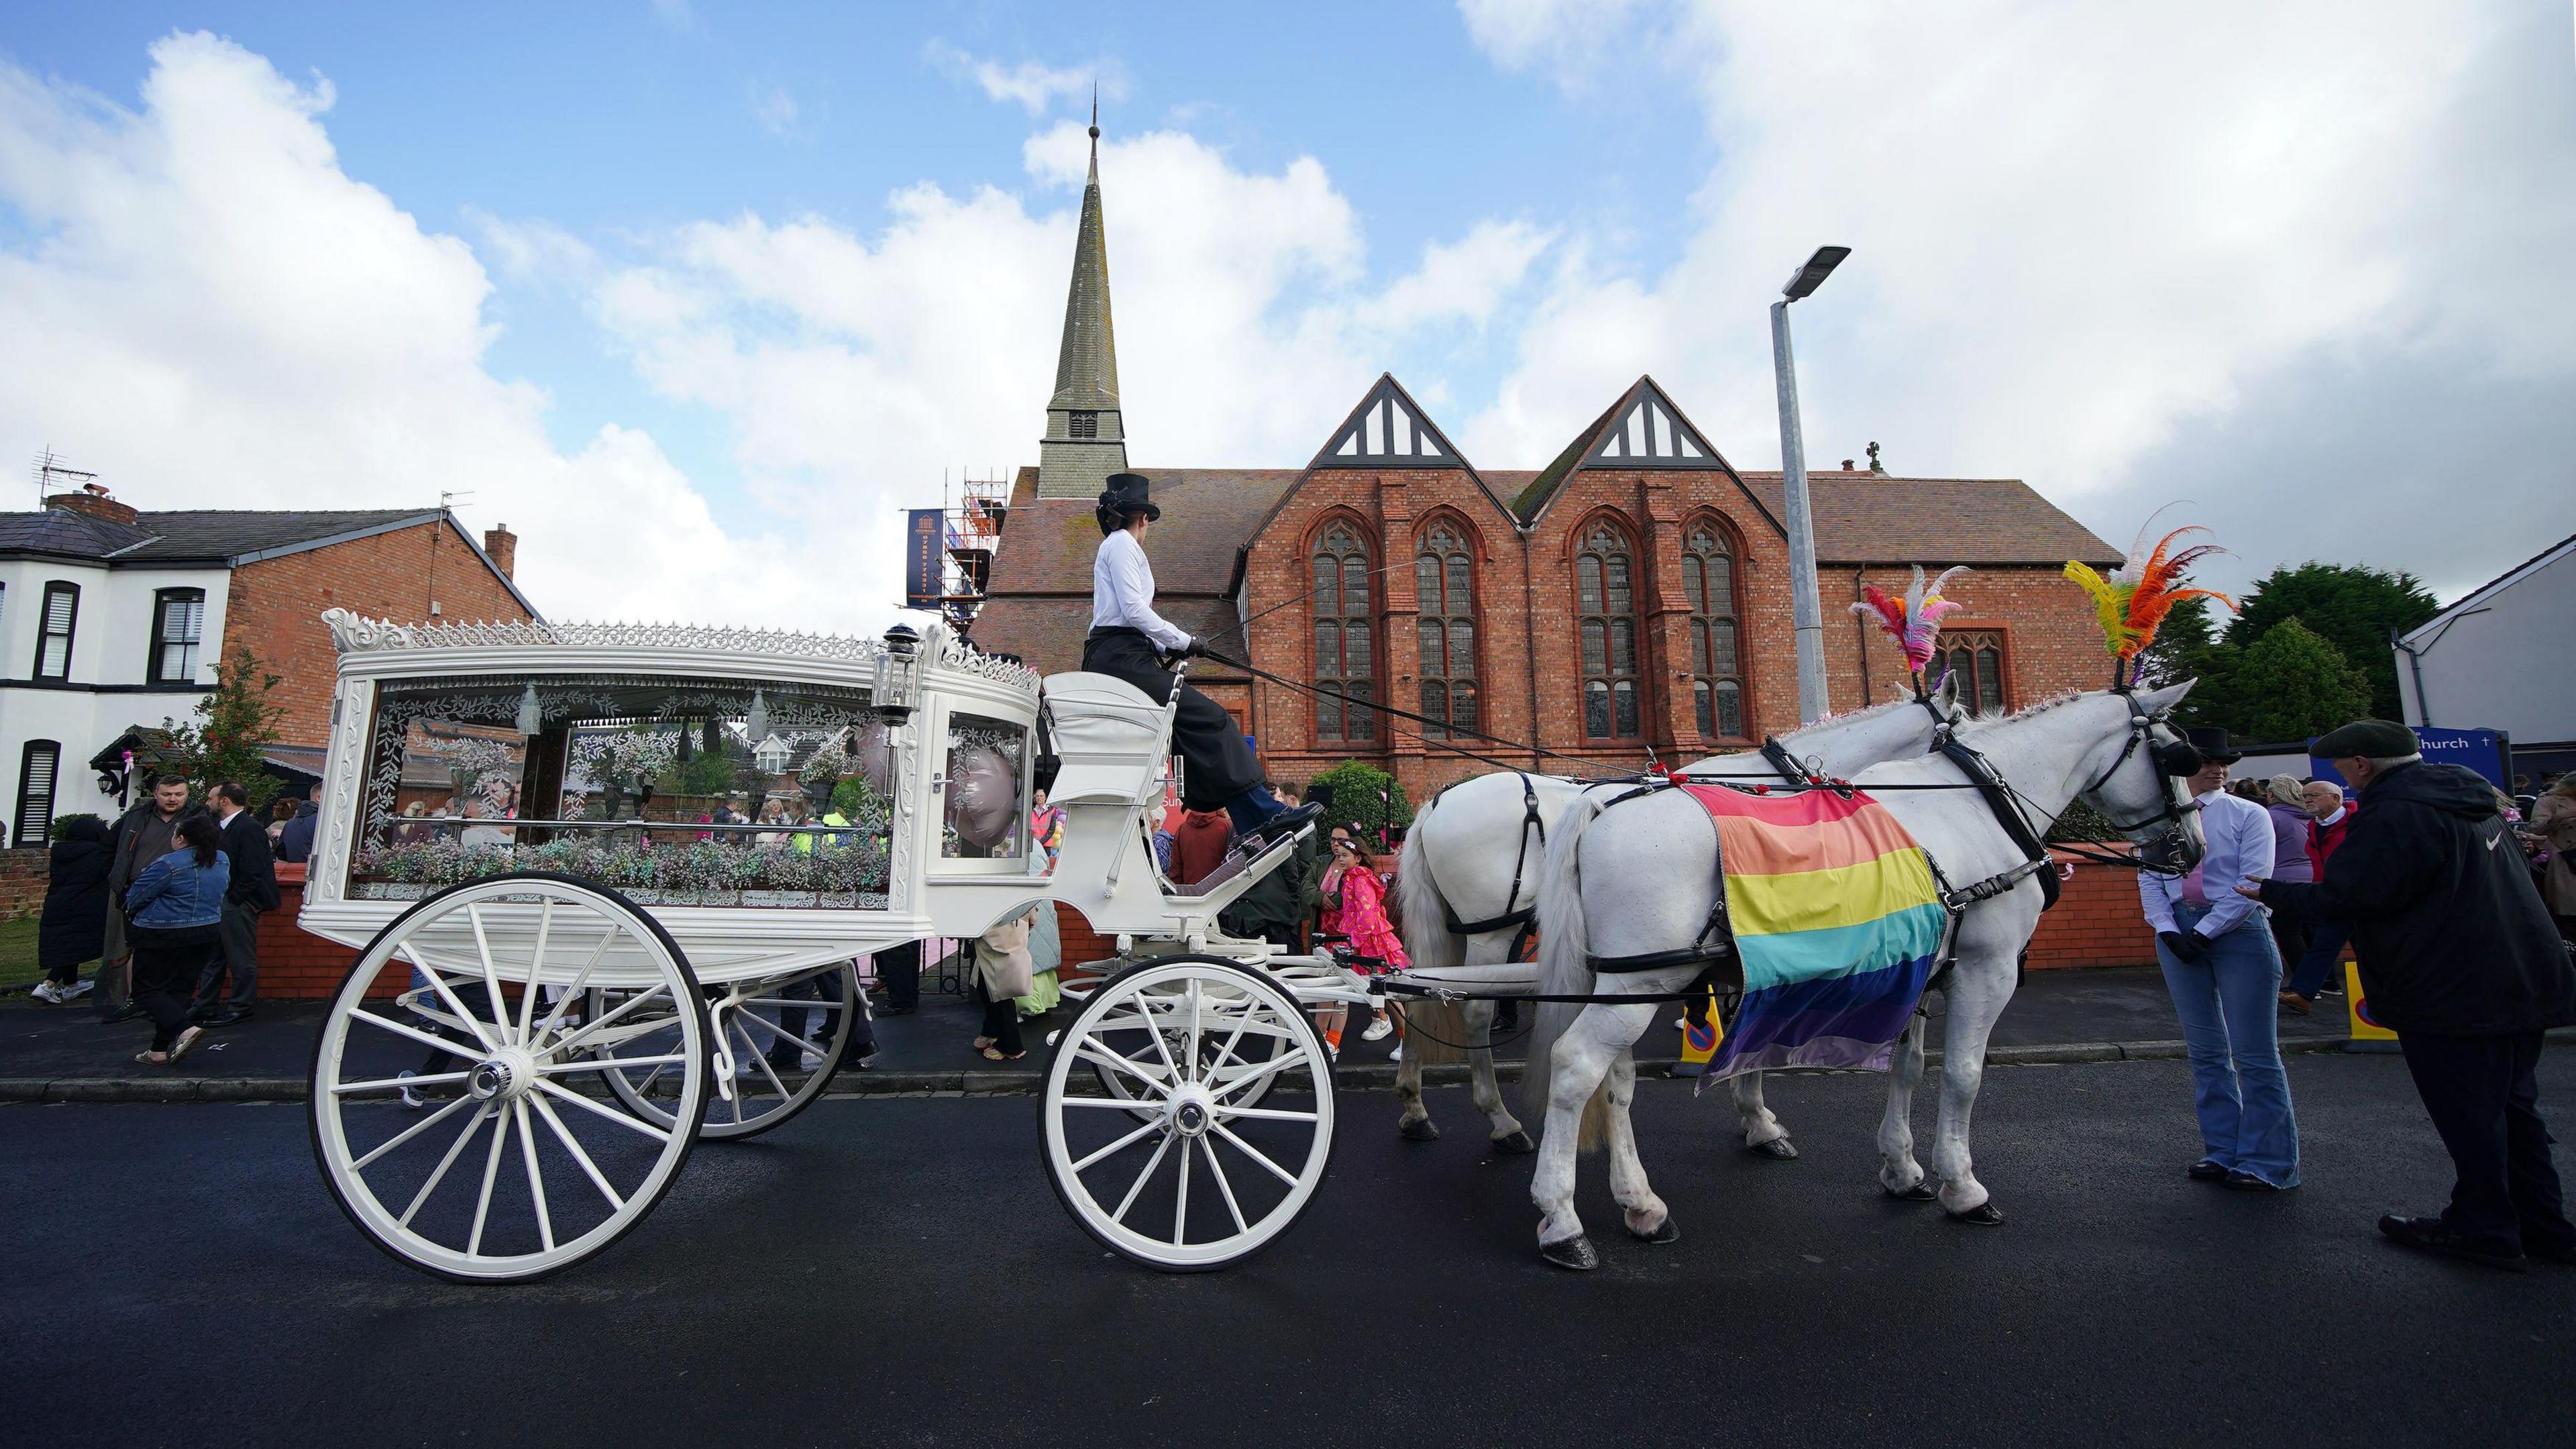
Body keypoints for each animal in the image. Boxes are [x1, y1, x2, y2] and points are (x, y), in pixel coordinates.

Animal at [1401, 675, 1957, 1150]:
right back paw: (1501, 1120)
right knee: (1472, 1011)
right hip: (1494, 930)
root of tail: (1436, 803)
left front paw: (1754, 1114)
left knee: (1416, 990)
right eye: (1961, 727)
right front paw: (1759, 1118)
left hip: (1463, 930)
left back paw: (1415, 1108)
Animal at [1514, 680, 2205, 1258]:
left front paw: (1901, 1168)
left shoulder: (1916, 967)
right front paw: (1963, 1187)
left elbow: (1909, 1067)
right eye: (2179, 756)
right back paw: (1561, 1219)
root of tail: (1602, 807)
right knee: (1576, 1066)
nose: (2192, 849)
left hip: (1628, 980)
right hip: (1643, 979)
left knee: (1615, 1080)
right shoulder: (1987, 970)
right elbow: (1963, 1076)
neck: (1977, 808)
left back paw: (1641, 1203)